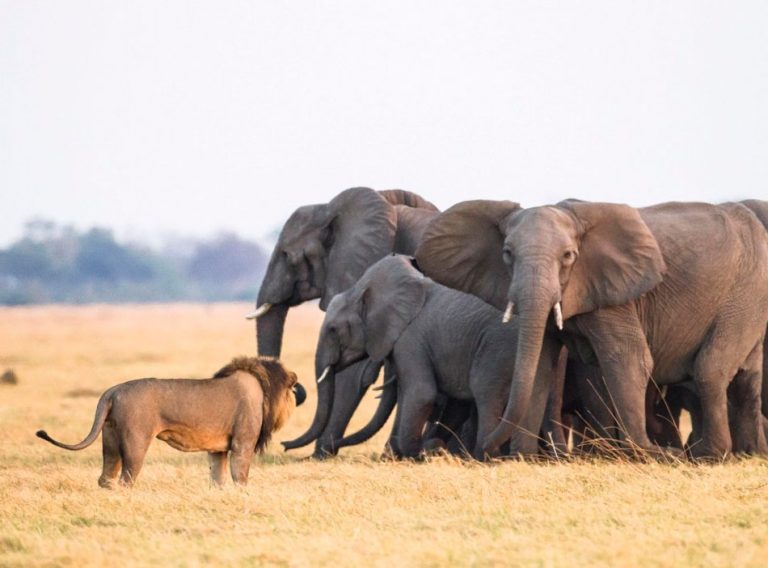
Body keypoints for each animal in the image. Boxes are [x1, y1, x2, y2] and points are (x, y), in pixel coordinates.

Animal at [36, 358, 306, 486]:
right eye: (292, 389)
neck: (263, 389)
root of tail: (113, 391)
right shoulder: (243, 442)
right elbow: (240, 476)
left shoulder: (217, 449)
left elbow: (217, 477)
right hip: (136, 440)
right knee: (127, 478)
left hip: (109, 439)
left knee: (106, 478)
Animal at [308, 255, 560, 460]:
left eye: (332, 330)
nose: (332, 446)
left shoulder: (410, 340)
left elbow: (421, 394)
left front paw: (423, 452)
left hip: (497, 348)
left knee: (486, 395)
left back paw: (485, 457)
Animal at [416, 199, 768, 458]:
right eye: (507, 254)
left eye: (569, 256)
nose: (438, 449)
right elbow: (540, 365)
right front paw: (523, 459)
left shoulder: (615, 298)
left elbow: (629, 358)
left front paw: (644, 454)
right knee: (746, 379)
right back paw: (750, 454)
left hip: (744, 294)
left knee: (710, 369)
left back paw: (709, 455)